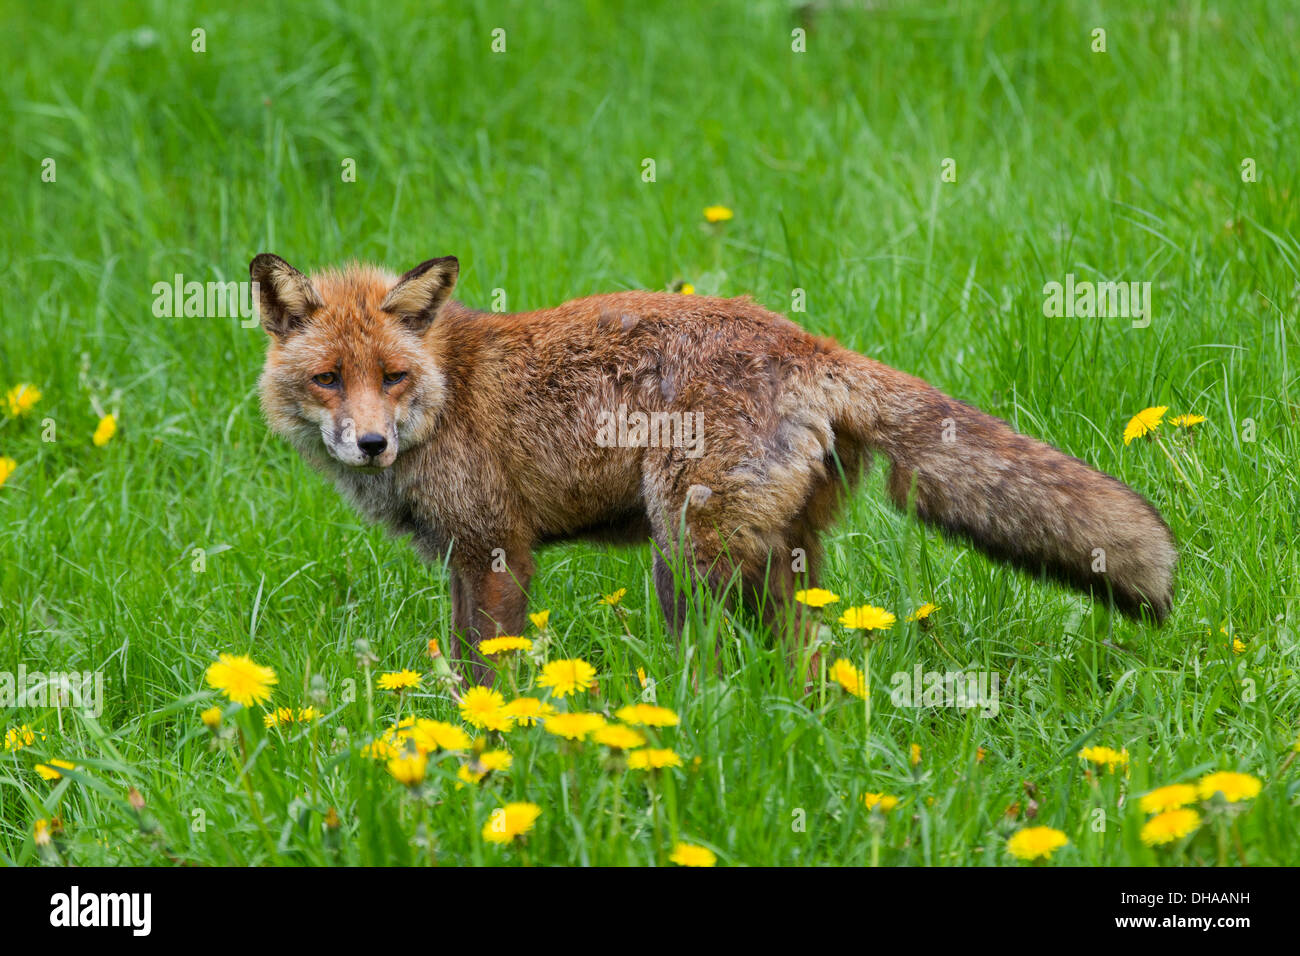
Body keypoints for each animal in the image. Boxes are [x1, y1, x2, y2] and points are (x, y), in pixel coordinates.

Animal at [253, 251, 1180, 676]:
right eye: (329, 379)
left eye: (392, 377)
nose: (371, 443)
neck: (451, 393)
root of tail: (808, 341)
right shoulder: (460, 557)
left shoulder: (493, 548)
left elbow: (490, 666)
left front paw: (492, 742)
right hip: (774, 562)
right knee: (812, 659)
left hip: (692, 556)